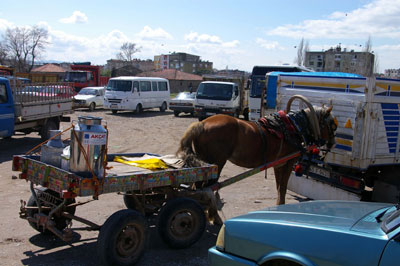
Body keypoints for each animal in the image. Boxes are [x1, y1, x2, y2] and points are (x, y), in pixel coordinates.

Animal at [177, 103, 336, 204]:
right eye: (333, 125)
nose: (332, 144)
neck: (292, 127)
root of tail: (201, 124)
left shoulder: (279, 164)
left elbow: (279, 187)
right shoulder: (288, 163)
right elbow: (283, 187)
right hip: (216, 164)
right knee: (205, 188)